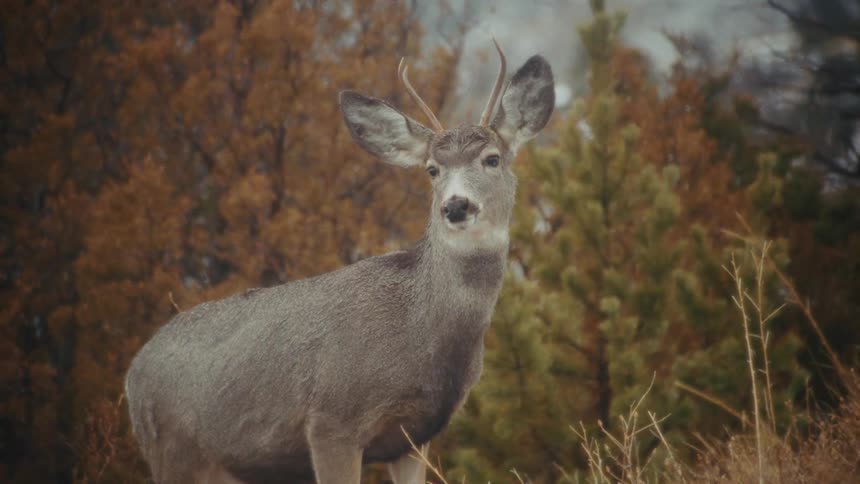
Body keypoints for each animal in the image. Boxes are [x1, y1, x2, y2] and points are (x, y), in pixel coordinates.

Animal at [125, 42, 554, 484]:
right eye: (432, 169)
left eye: (492, 159)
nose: (455, 206)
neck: (421, 334)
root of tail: (132, 376)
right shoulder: (332, 422)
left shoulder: (413, 438)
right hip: (175, 454)